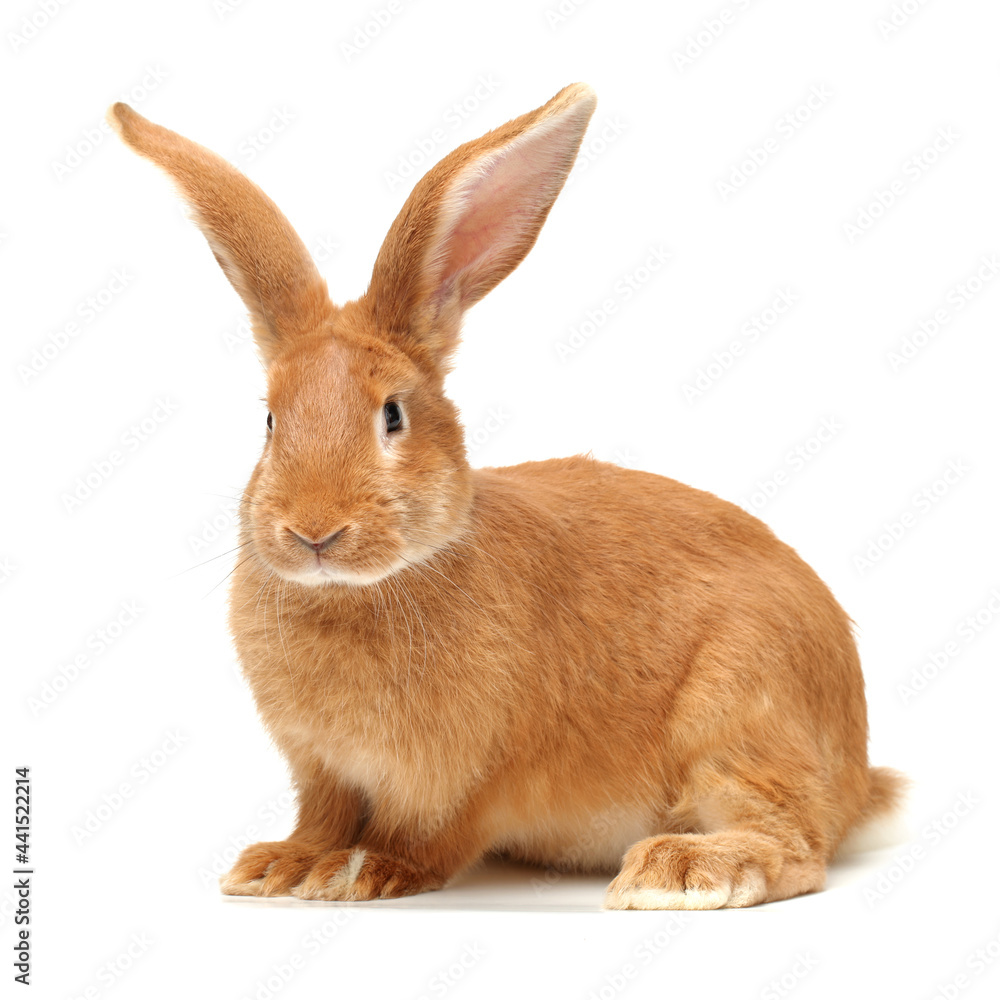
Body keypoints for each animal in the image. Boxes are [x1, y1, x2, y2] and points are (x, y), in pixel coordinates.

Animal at [108, 83, 903, 909]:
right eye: (268, 421)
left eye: (392, 415)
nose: (313, 532)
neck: (365, 589)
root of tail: (857, 772)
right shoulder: (321, 770)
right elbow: (318, 818)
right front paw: (279, 864)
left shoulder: (468, 778)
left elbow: (425, 837)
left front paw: (359, 870)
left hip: (741, 709)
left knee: (794, 843)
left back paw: (680, 870)